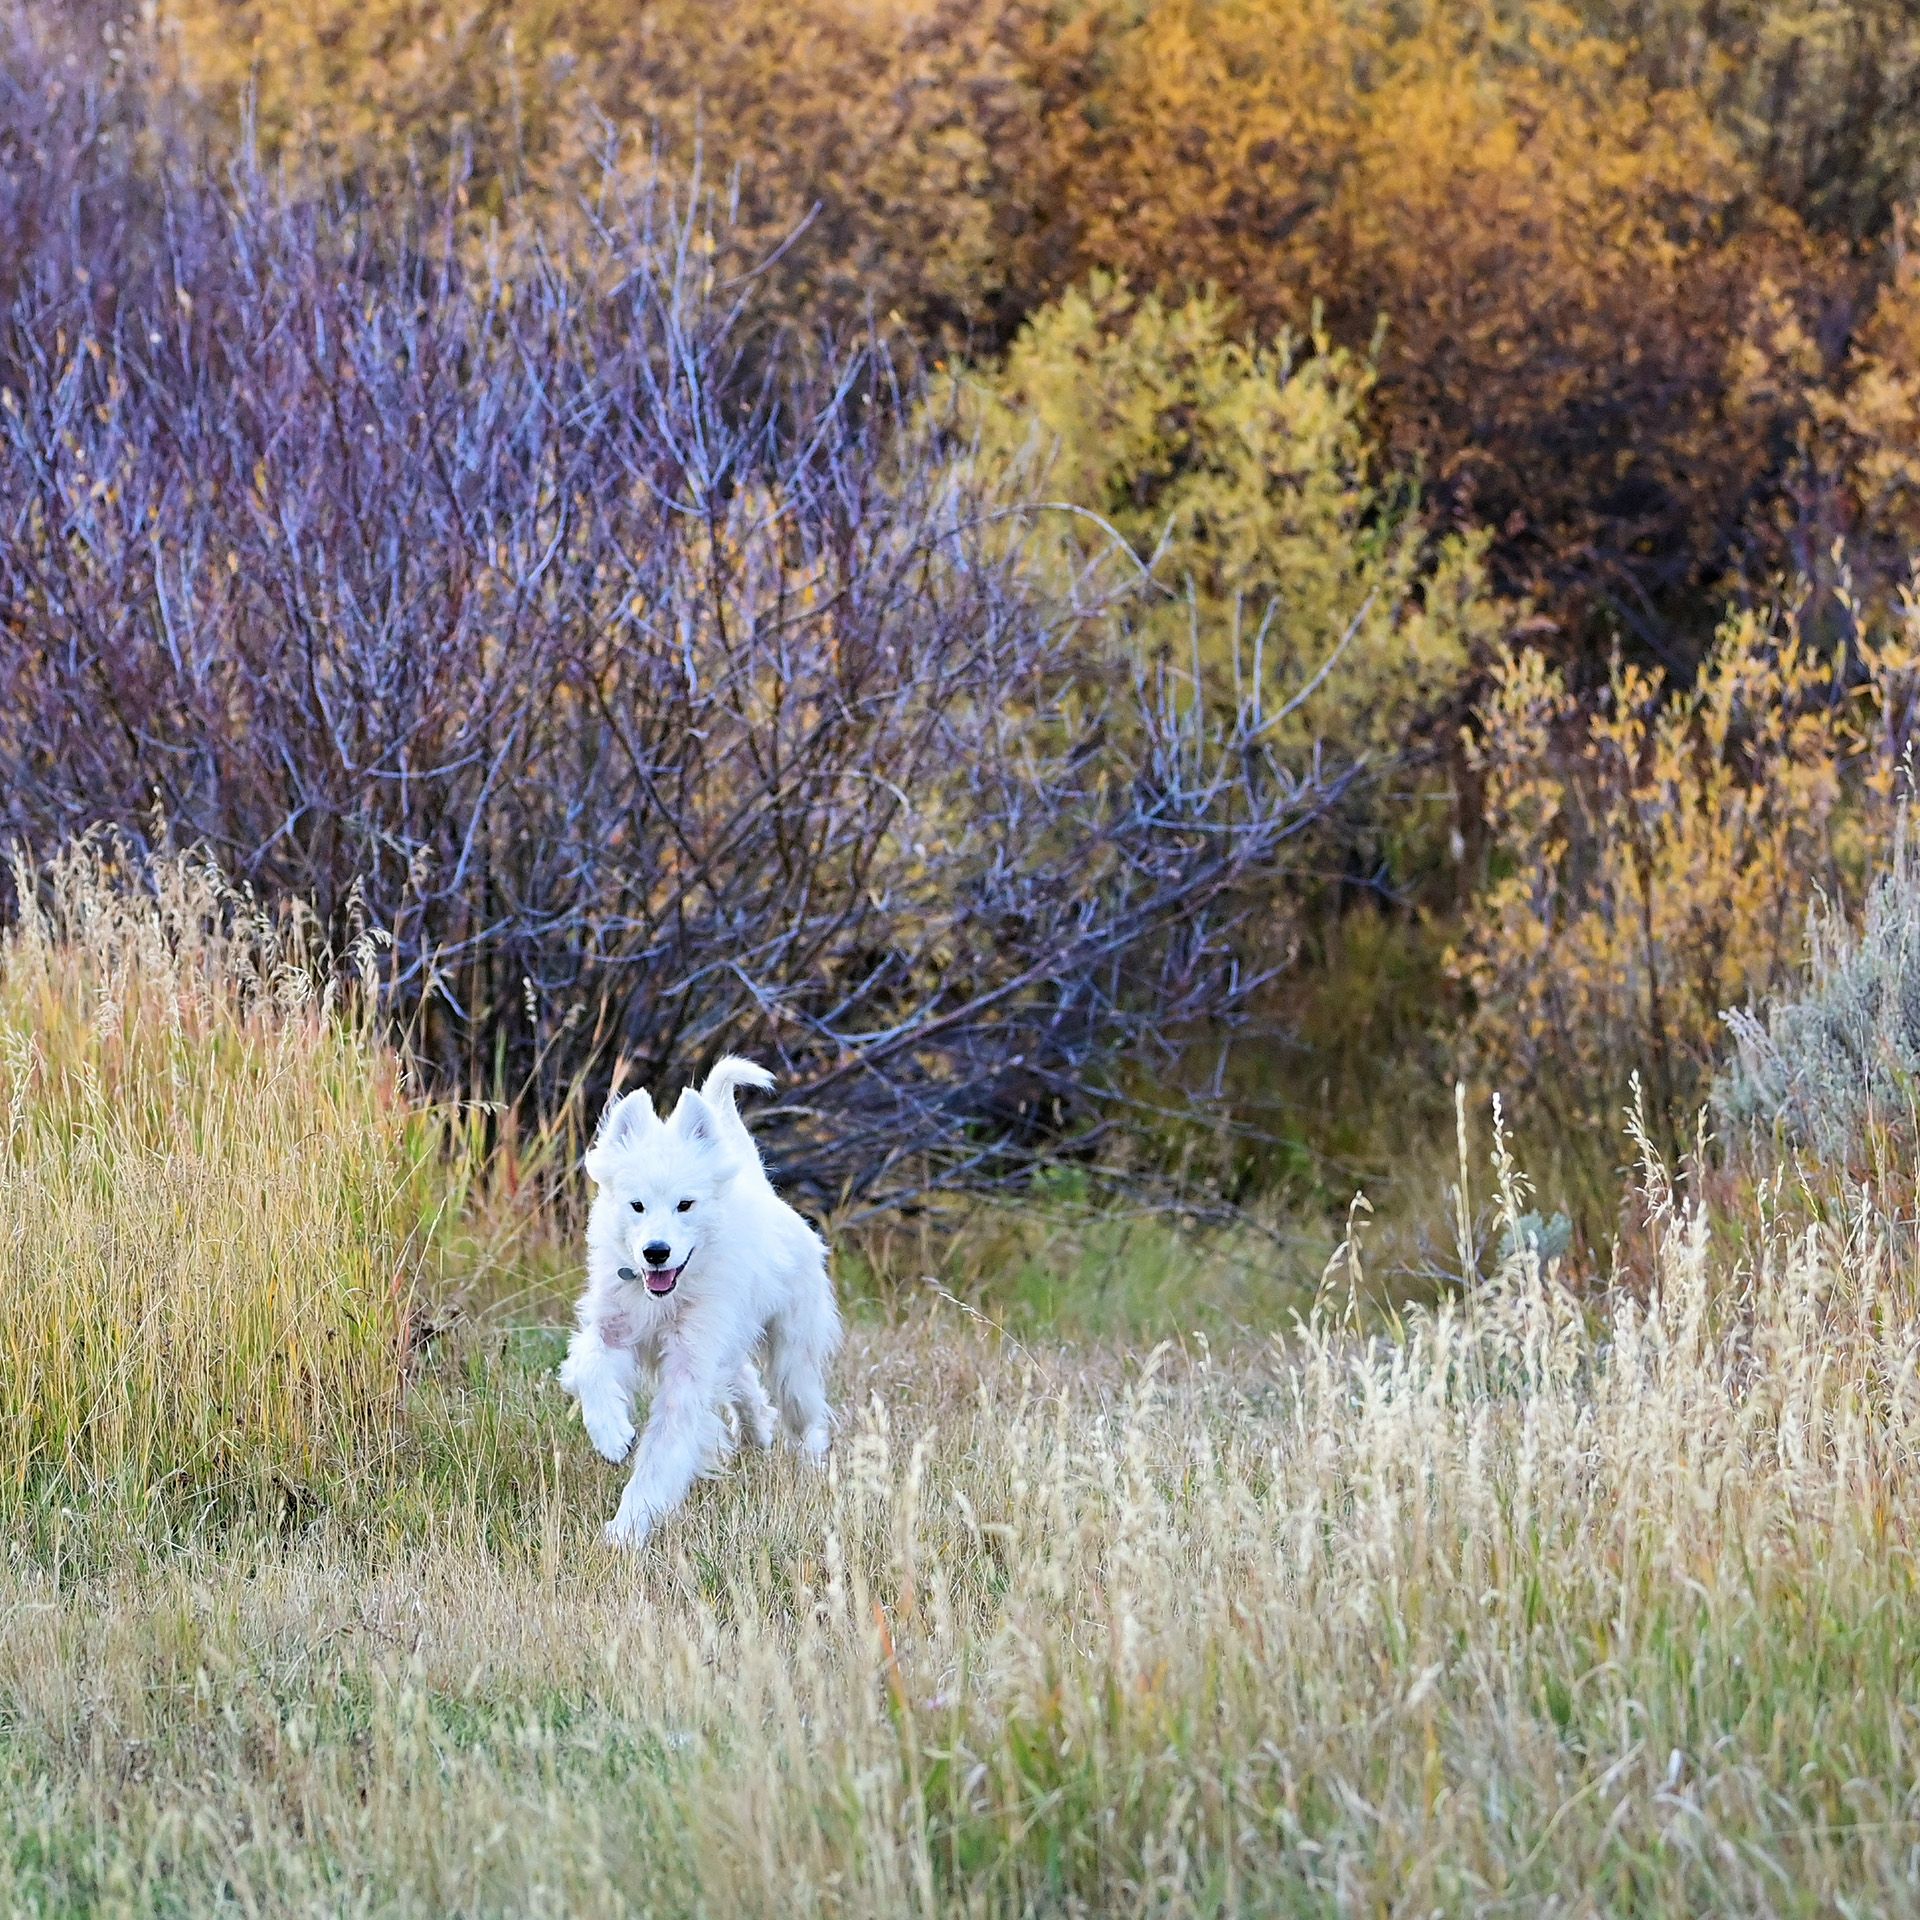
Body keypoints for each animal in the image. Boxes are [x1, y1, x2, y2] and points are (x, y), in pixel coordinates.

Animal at [556, 1059, 840, 1551]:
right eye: (636, 1205)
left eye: (685, 1205)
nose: (656, 1252)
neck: (665, 1296)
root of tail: (763, 1190)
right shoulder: (613, 1329)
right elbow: (589, 1367)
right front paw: (612, 1436)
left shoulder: (688, 1370)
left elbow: (662, 1453)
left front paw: (626, 1531)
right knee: (745, 1383)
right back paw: (756, 1433)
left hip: (792, 1356)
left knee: (804, 1413)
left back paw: (811, 1466)